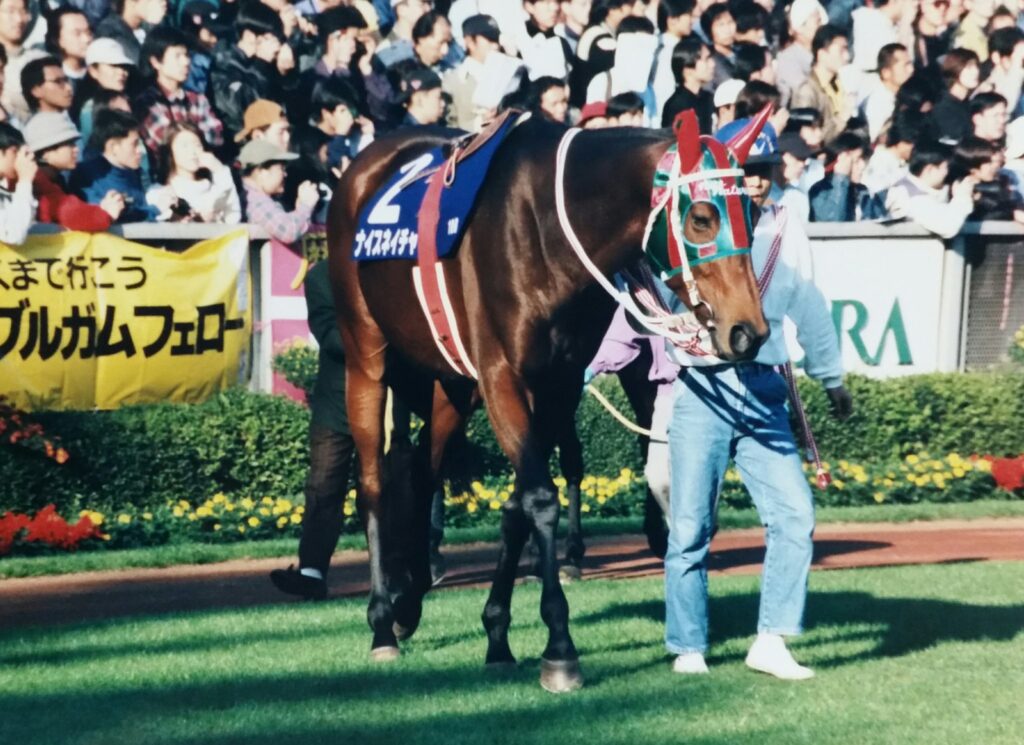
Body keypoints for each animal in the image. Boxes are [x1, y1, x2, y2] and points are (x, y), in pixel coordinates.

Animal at [327, 108, 772, 692]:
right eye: (701, 217)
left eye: (754, 210)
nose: (749, 331)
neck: (550, 232)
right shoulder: (502, 376)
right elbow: (539, 499)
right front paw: (559, 647)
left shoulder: (557, 381)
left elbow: (518, 505)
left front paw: (497, 632)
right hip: (366, 353)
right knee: (374, 481)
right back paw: (382, 621)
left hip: (453, 381)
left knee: (424, 470)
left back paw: (408, 604)